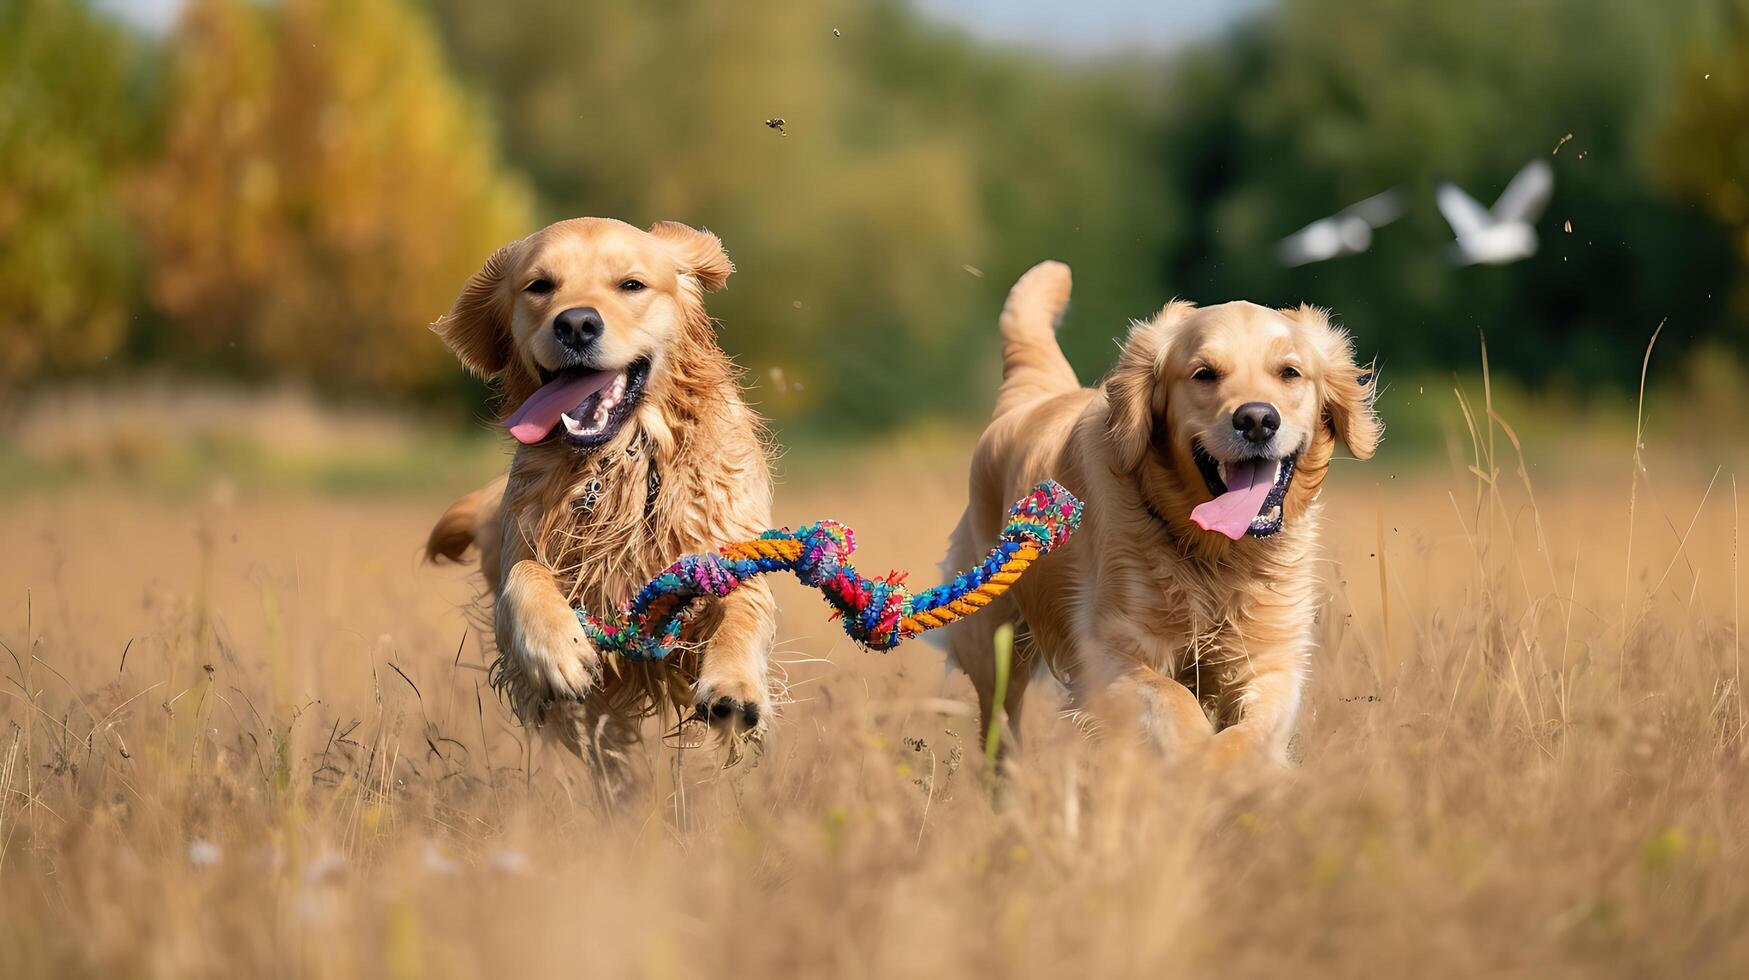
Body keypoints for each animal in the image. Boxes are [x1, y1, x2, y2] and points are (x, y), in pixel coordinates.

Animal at [423, 217, 773, 784]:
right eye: (539, 286)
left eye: (631, 284)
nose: (576, 325)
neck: (621, 465)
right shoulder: (524, 542)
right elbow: (524, 578)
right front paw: (559, 652)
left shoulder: (728, 547)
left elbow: (743, 608)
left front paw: (734, 688)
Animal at [944, 264, 1378, 770]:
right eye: (1204, 374)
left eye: (1289, 372)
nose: (1256, 420)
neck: (1218, 554)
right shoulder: (1112, 651)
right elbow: (1172, 698)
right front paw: (1194, 759)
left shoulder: (1270, 658)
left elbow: (1254, 730)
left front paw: (1231, 766)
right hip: (994, 641)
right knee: (1000, 725)